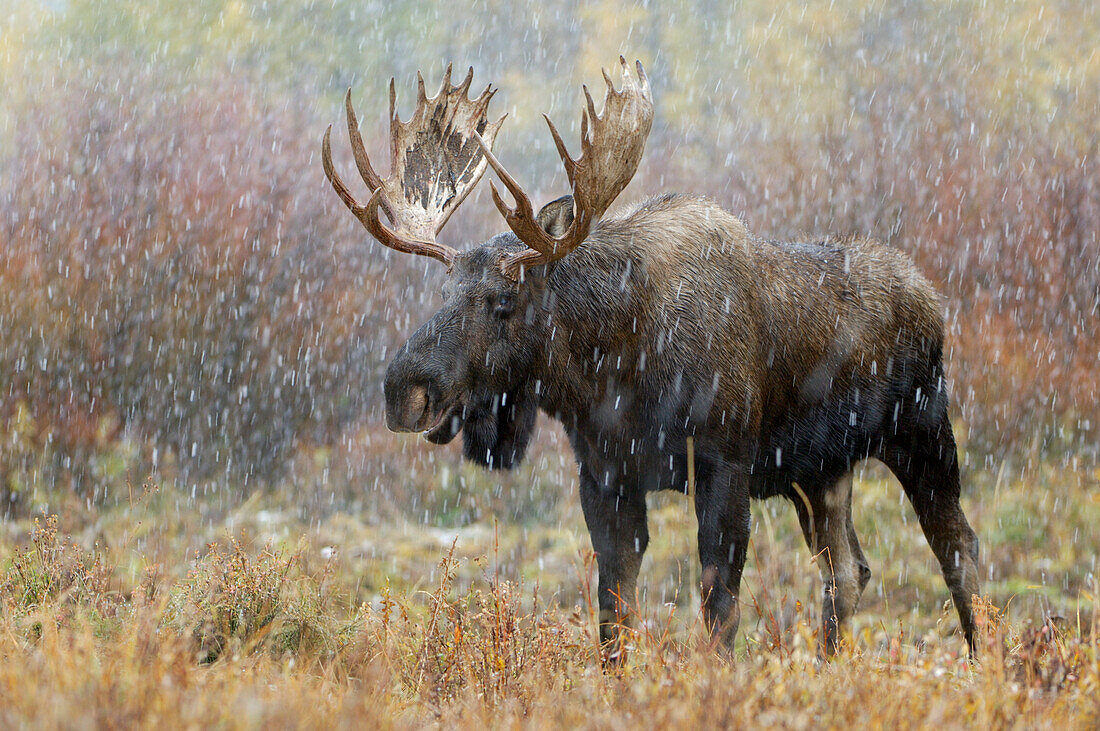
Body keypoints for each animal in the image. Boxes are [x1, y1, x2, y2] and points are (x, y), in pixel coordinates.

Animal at [319, 59, 981, 659]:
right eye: (444, 290)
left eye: (503, 300)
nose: (403, 390)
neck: (615, 370)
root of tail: (931, 296)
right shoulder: (604, 476)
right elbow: (614, 613)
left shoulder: (724, 463)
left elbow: (718, 606)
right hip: (821, 472)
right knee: (848, 569)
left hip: (923, 432)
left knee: (959, 549)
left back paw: (984, 660)